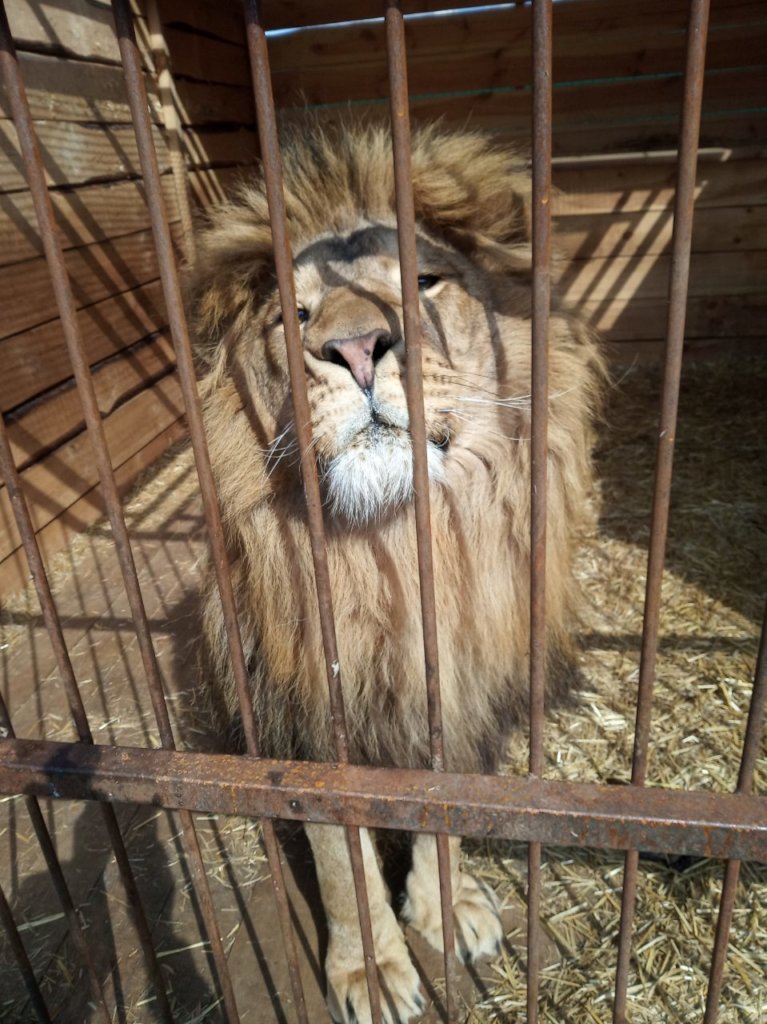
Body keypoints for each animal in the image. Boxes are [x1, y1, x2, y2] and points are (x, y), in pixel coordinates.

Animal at [188, 122, 603, 1023]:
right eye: (293, 314)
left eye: (423, 280)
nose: (351, 347)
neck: (397, 551)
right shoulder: (311, 712)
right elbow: (341, 861)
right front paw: (372, 967)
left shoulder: (454, 688)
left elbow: (441, 809)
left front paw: (448, 909)